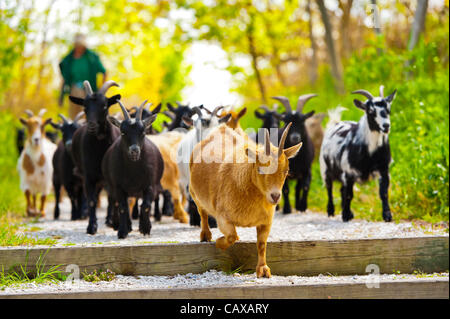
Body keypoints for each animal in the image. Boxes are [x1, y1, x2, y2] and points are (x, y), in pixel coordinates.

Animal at [70, 80, 120, 235]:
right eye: (85, 107)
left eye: (104, 106)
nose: (91, 125)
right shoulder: (89, 175)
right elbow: (91, 200)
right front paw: (91, 227)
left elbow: (112, 198)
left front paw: (113, 223)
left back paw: (109, 220)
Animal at [101, 101, 163, 239]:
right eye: (123, 132)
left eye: (143, 132)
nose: (134, 150)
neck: (133, 172)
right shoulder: (118, 187)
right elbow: (123, 207)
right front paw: (122, 231)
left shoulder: (150, 185)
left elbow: (146, 206)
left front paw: (145, 228)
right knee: (118, 204)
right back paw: (124, 225)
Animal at [188, 122, 300, 278]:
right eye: (260, 169)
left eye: (286, 171)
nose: (275, 196)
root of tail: (221, 129)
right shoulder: (222, 216)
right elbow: (231, 236)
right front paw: (219, 242)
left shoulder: (266, 221)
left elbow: (261, 244)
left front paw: (263, 270)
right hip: (194, 192)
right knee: (202, 212)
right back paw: (205, 236)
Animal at [320, 86, 398, 224]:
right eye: (371, 111)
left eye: (388, 109)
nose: (386, 126)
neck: (370, 153)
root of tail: (335, 123)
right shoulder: (349, 171)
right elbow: (349, 195)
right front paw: (345, 216)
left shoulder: (384, 169)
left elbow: (383, 193)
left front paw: (387, 216)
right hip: (325, 169)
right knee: (329, 189)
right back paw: (331, 211)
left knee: (342, 190)